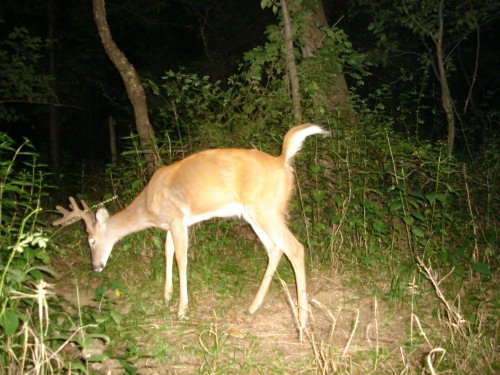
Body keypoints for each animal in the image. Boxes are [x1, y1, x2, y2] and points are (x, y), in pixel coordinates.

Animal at [53, 125, 328, 340]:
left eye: (91, 240)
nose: (95, 267)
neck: (148, 205)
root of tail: (282, 161)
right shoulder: (172, 223)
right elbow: (167, 251)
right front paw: (166, 295)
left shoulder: (177, 217)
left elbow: (181, 258)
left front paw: (182, 309)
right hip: (254, 215)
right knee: (274, 249)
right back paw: (252, 307)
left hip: (265, 209)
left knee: (295, 248)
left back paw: (301, 323)